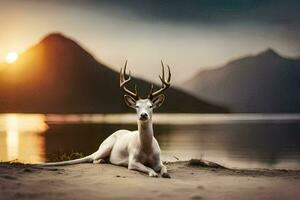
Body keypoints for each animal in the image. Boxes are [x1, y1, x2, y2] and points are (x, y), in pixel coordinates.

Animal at [40, 61, 171, 178]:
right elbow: (147, 168)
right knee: (93, 158)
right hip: (106, 146)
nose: (143, 115)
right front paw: (153, 173)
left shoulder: (159, 160)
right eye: (137, 106)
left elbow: (164, 167)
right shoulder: (132, 160)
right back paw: (102, 160)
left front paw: (165, 174)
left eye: (151, 106)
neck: (147, 148)